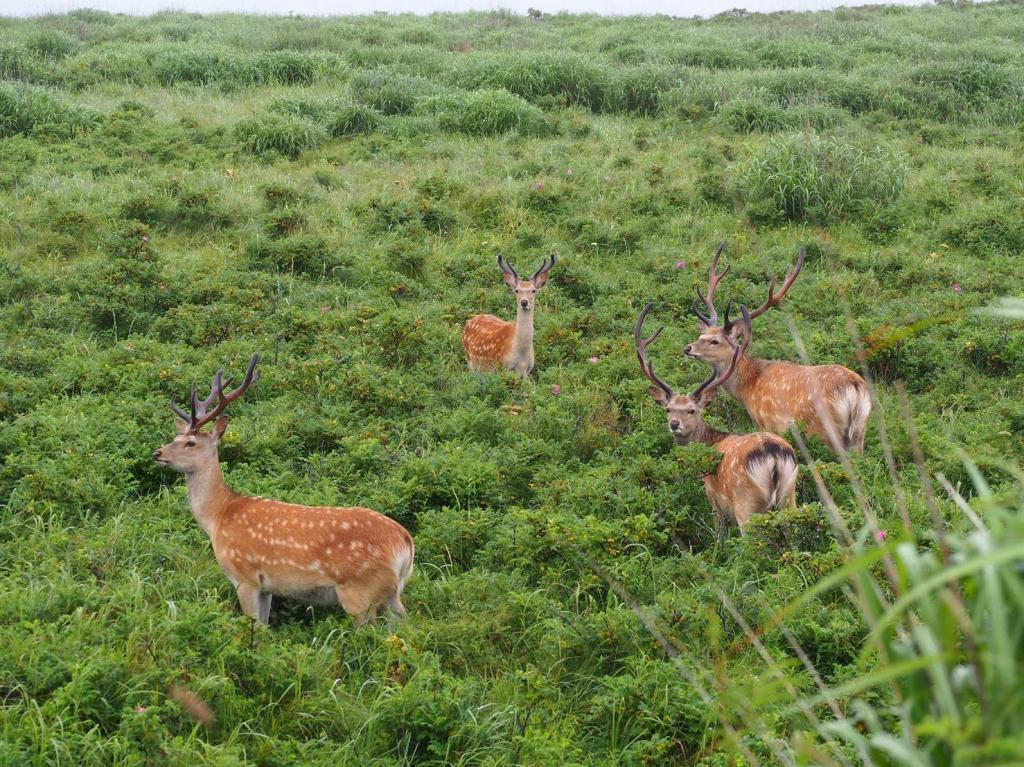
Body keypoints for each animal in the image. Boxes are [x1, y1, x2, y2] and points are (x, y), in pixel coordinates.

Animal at [150, 356, 411, 626]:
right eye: (175, 437)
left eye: (190, 443)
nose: (157, 453)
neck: (218, 517)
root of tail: (406, 542)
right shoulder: (268, 588)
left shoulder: (245, 577)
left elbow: (253, 623)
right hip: (391, 593)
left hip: (359, 591)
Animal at [630, 303, 798, 536]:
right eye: (668, 409)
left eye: (692, 410)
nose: (674, 424)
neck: (710, 441)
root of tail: (773, 456)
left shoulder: (714, 500)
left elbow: (719, 536)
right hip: (789, 496)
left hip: (746, 504)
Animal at [688, 243, 872, 454]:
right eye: (701, 335)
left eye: (715, 341)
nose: (687, 348)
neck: (748, 387)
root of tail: (854, 388)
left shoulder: (767, 421)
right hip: (860, 431)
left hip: (823, 429)